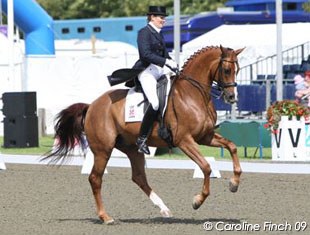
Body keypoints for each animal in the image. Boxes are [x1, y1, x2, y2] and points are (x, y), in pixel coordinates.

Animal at [46, 45, 245, 224]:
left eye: (238, 70)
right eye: (227, 70)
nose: (232, 97)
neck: (191, 94)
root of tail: (92, 105)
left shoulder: (205, 137)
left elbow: (232, 146)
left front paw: (234, 184)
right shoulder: (185, 141)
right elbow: (206, 167)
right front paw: (198, 200)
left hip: (132, 148)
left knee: (138, 177)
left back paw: (164, 209)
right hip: (103, 150)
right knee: (95, 178)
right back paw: (105, 217)